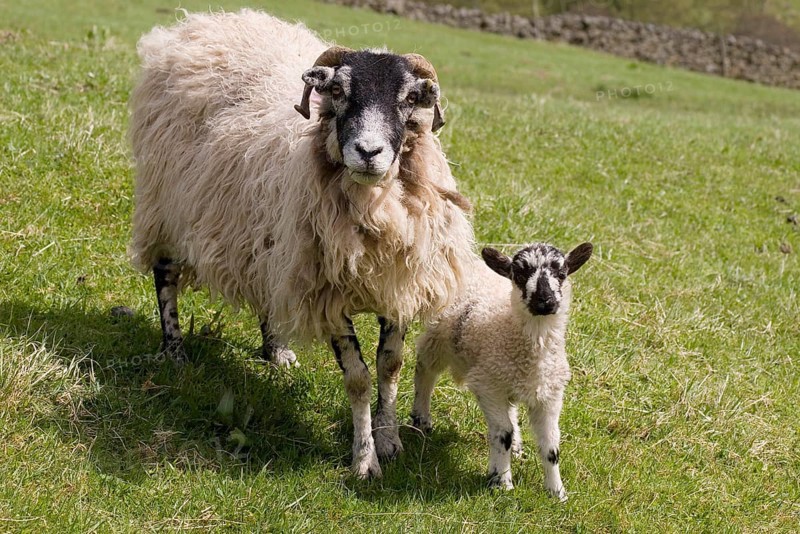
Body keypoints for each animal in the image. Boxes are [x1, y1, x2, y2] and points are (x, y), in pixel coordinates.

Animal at [128, 10, 475, 479]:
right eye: (338, 91)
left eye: (408, 98)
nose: (369, 152)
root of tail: (204, 22)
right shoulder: (328, 294)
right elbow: (358, 378)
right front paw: (364, 459)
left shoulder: (399, 282)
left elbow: (390, 365)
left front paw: (388, 439)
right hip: (167, 203)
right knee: (165, 274)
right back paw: (175, 350)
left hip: (268, 240)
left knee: (267, 287)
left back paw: (276, 351)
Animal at [411, 242, 593, 498]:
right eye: (519, 274)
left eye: (561, 273)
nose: (544, 300)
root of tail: (472, 263)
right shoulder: (488, 386)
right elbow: (502, 433)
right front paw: (501, 481)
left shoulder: (550, 394)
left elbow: (550, 444)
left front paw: (557, 492)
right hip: (439, 336)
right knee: (425, 369)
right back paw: (421, 419)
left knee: (512, 410)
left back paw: (517, 446)